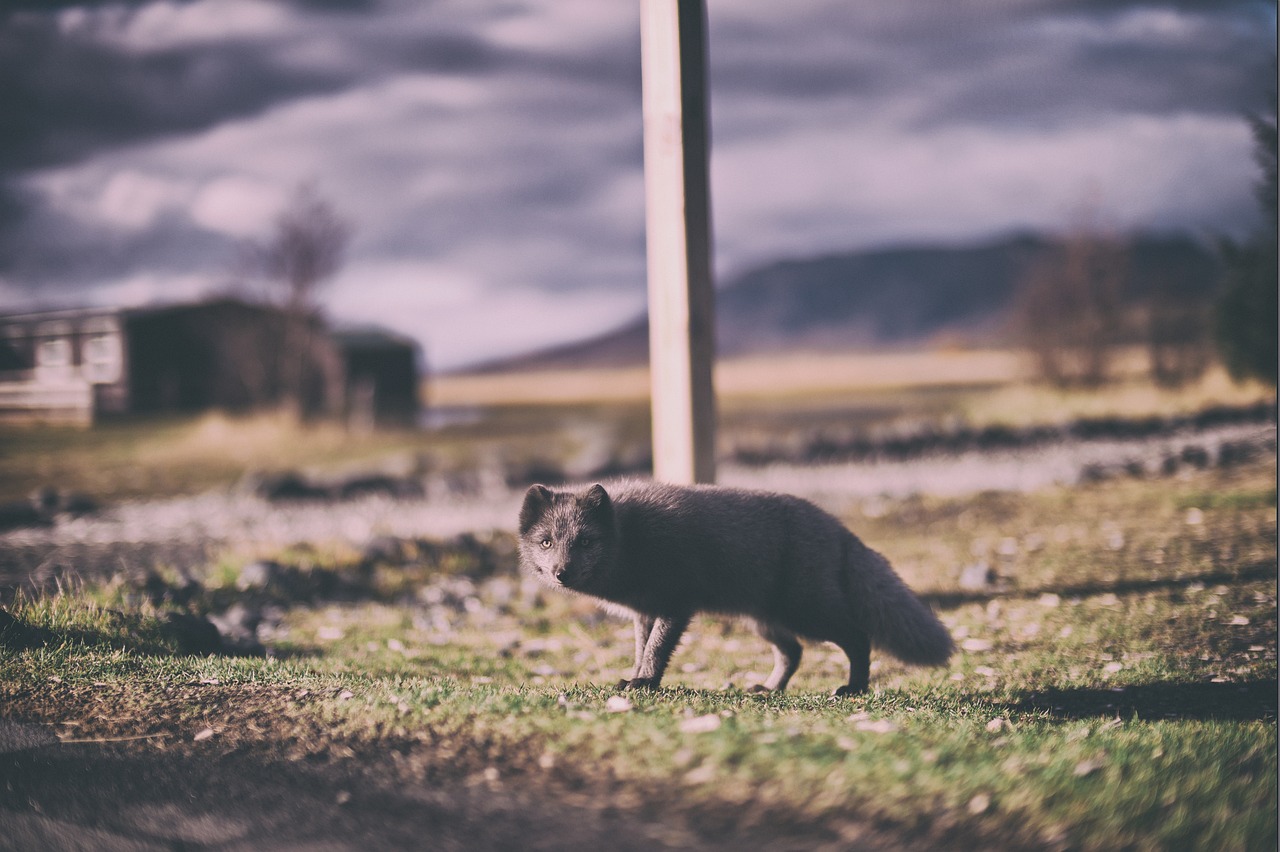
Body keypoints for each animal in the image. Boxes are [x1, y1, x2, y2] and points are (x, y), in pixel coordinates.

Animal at [517, 481, 952, 695]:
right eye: (546, 542)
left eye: (586, 541)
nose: (561, 573)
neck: (632, 538)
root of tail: (838, 527)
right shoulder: (644, 611)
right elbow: (642, 649)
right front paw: (635, 677)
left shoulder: (676, 604)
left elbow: (657, 650)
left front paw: (645, 683)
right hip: (765, 620)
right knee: (793, 652)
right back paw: (770, 690)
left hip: (807, 611)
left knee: (858, 637)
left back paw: (854, 688)